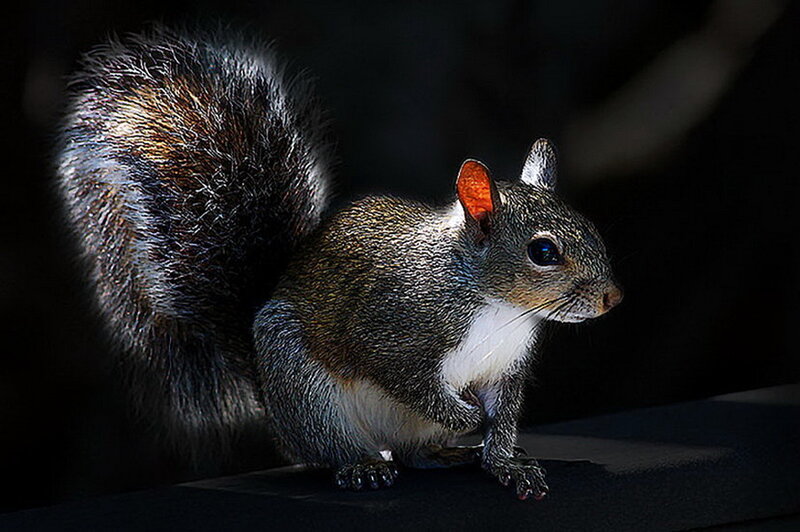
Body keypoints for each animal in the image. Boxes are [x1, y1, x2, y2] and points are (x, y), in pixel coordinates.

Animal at [56, 27, 622, 500]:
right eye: (543, 252)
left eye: (590, 229)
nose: (612, 298)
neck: (496, 305)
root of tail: (270, 398)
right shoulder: (392, 334)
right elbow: (412, 383)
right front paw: (462, 416)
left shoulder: (504, 369)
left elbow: (502, 419)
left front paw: (504, 462)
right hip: (309, 393)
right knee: (337, 449)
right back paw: (364, 466)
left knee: (413, 455)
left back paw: (445, 453)